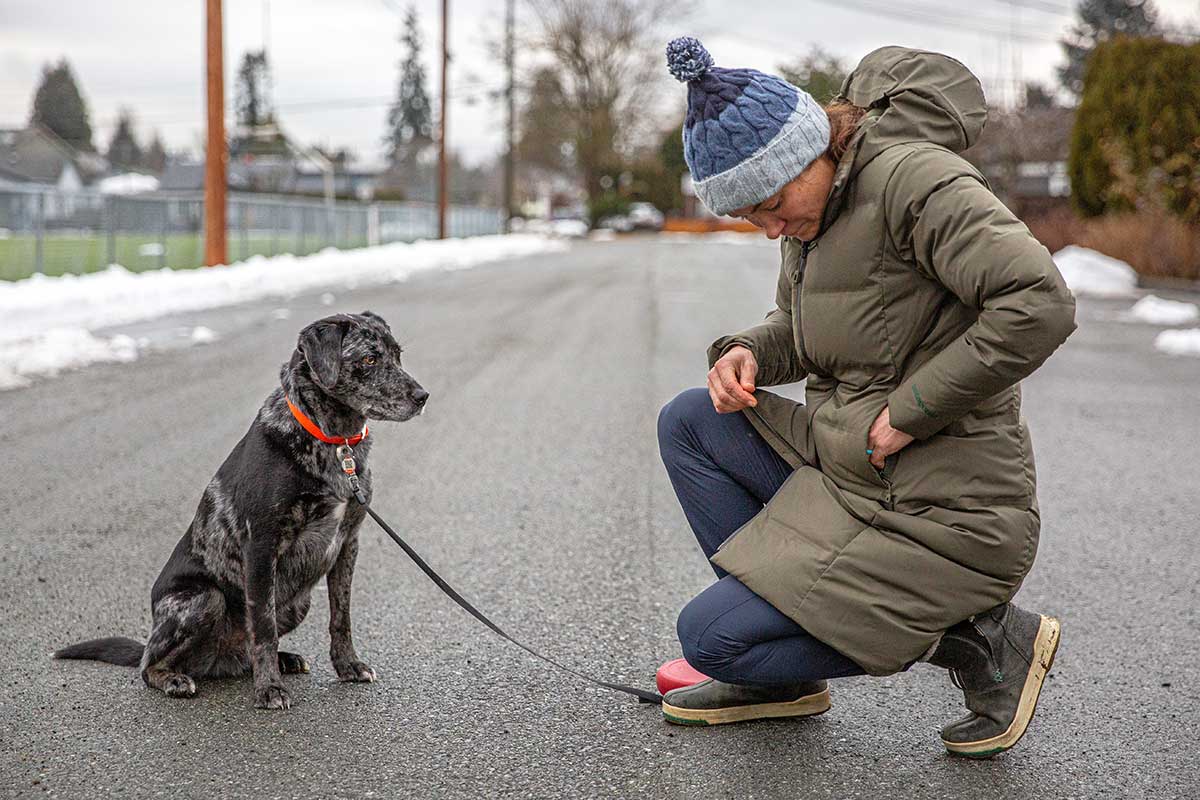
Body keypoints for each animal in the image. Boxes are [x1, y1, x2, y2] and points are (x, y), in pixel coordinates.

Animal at [57, 309, 432, 710]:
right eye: (369, 359)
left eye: (397, 354)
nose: (422, 396)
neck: (333, 441)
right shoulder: (262, 547)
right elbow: (264, 627)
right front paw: (269, 690)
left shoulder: (347, 544)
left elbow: (340, 616)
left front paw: (348, 666)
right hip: (203, 599)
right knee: (150, 666)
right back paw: (175, 678)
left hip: (297, 603)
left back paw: (283, 660)